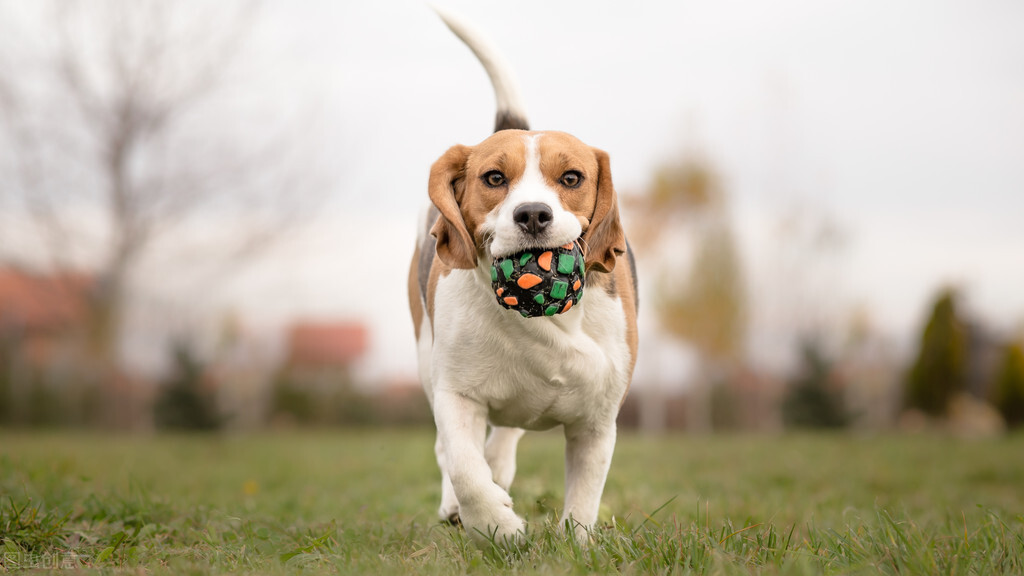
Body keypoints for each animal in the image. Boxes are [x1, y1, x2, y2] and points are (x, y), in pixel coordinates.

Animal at [409, 7, 634, 541]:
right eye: (494, 178)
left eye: (571, 178)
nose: (532, 214)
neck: (544, 324)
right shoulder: (455, 394)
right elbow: (464, 468)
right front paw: (498, 526)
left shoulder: (598, 421)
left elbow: (585, 497)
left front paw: (575, 543)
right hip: (426, 357)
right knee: (450, 452)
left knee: (505, 434)